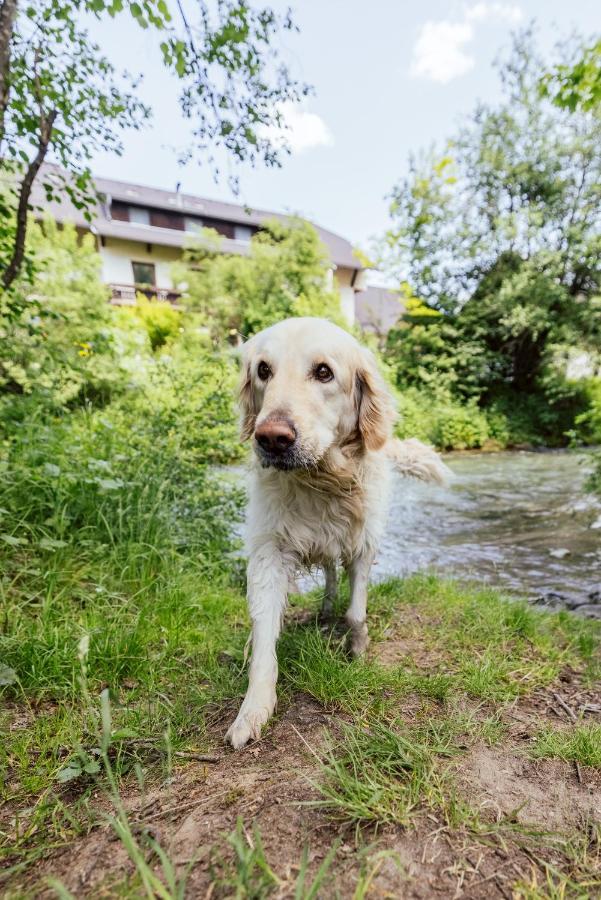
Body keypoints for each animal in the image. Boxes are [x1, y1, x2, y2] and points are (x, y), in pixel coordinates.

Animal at [226, 320, 450, 748]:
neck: (320, 481)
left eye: (324, 372)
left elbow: (356, 611)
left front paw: (357, 648)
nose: (272, 438)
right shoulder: (269, 552)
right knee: (329, 575)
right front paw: (254, 709)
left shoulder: (363, 545)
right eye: (263, 370)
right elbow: (263, 637)